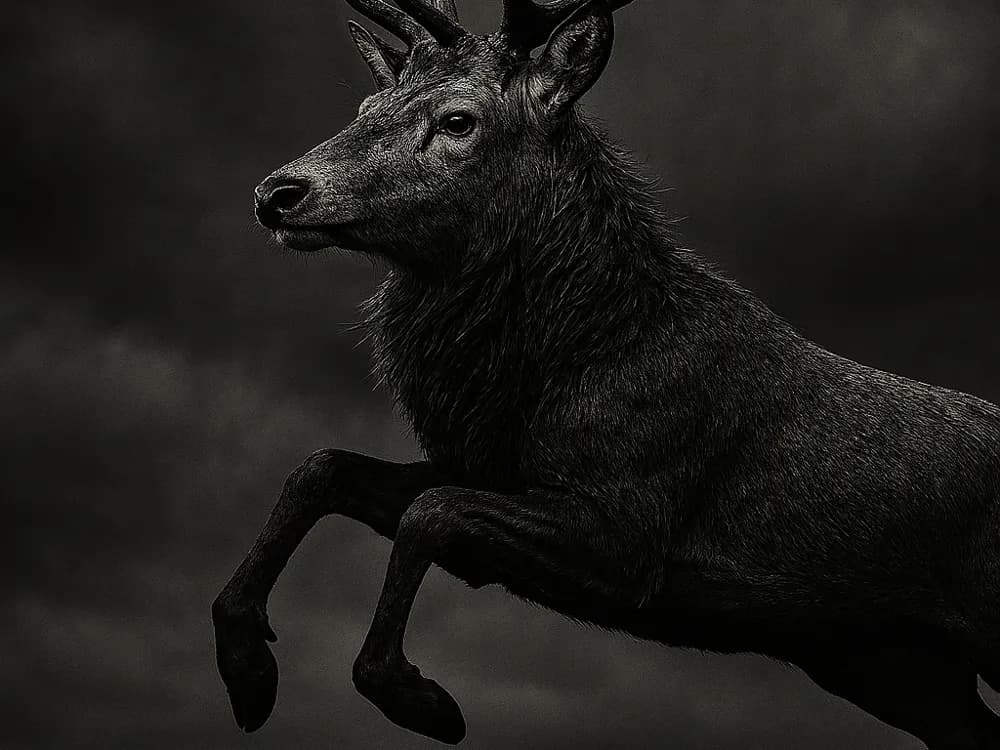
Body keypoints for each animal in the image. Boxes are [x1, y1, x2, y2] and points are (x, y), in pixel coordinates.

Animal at [211, 0, 1000, 747]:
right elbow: (324, 468)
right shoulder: (488, 471)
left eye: (459, 120)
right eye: (365, 107)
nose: (278, 192)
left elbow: (430, 513)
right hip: (897, 670)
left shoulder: (629, 530)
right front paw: (247, 663)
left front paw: (416, 696)